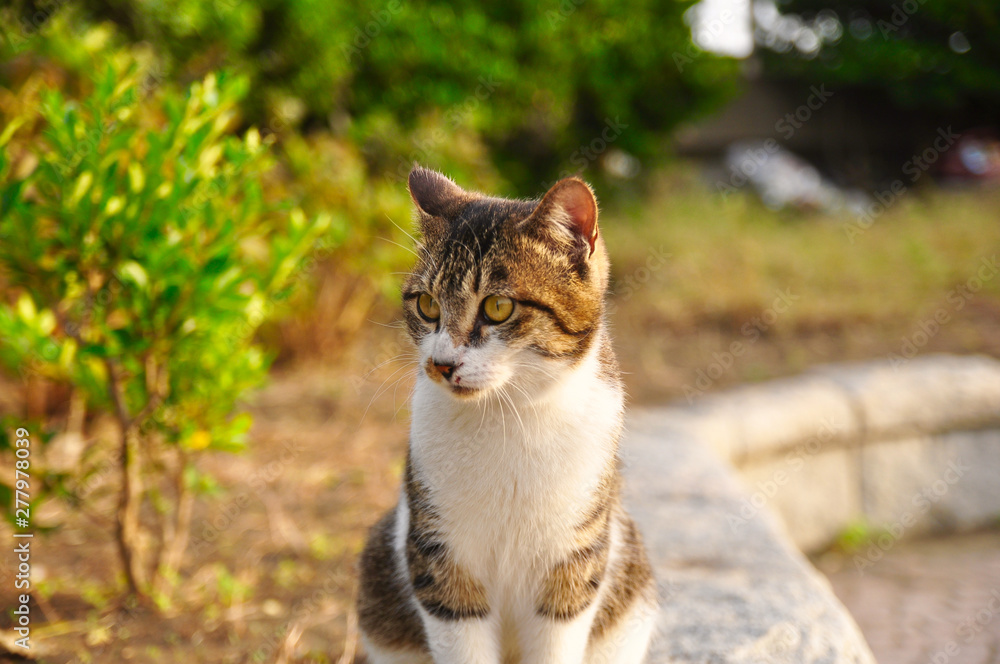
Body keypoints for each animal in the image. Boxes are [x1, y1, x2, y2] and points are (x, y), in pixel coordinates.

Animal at [356, 167, 660, 664]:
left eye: (498, 307)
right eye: (427, 305)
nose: (441, 364)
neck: (508, 414)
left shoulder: (573, 564)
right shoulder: (440, 558)